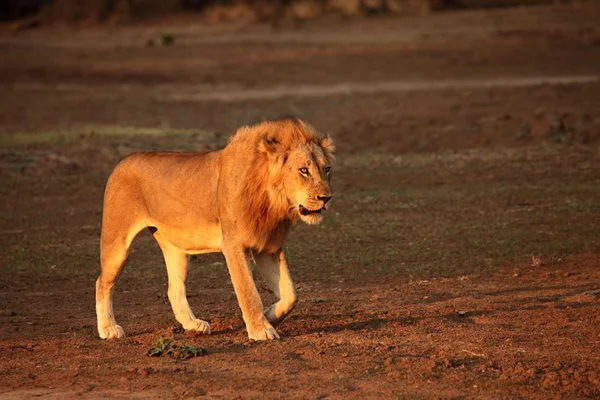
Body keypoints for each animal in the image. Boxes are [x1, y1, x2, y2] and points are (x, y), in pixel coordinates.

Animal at [96, 118, 336, 340]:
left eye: (327, 169)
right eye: (303, 170)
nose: (326, 198)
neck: (273, 202)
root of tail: (122, 161)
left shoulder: (268, 247)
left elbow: (291, 295)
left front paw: (269, 316)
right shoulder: (234, 245)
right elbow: (248, 291)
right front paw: (261, 330)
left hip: (177, 249)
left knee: (174, 289)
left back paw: (193, 325)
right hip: (117, 243)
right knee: (102, 283)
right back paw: (108, 329)